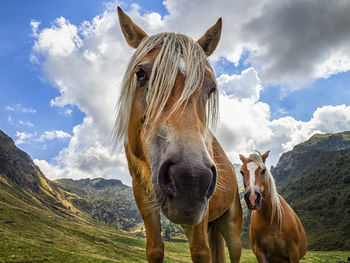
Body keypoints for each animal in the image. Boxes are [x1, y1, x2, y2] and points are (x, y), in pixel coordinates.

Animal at [113, 6, 242, 263]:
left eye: (211, 87)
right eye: (140, 73)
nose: (191, 179)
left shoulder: (200, 216)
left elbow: (201, 252)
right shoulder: (143, 196)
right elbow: (155, 248)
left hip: (231, 226)